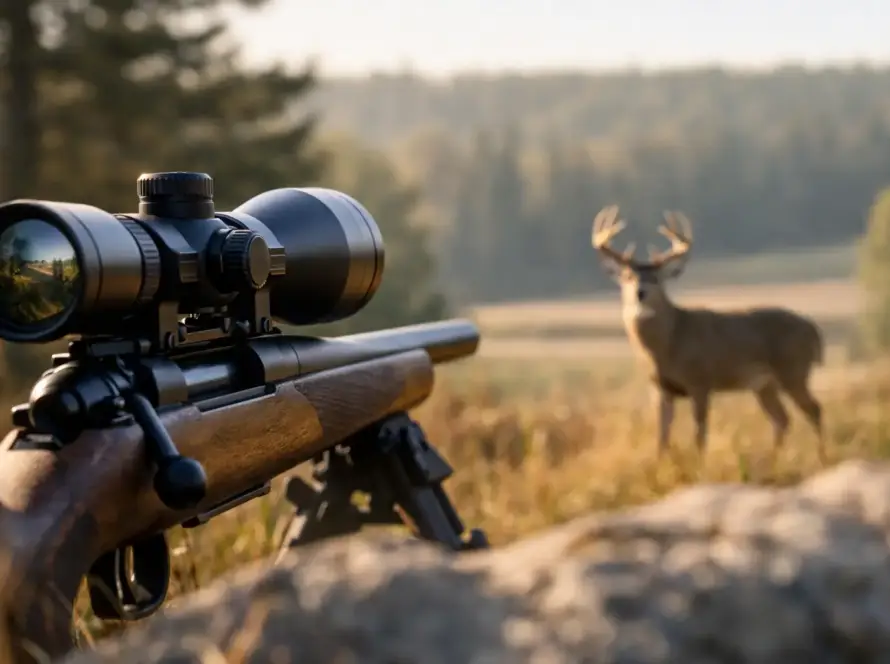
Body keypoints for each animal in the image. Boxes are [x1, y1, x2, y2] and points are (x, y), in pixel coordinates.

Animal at [590, 205, 825, 458]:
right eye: (627, 277)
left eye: (656, 278)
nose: (640, 293)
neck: (670, 344)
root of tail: (812, 328)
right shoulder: (660, 389)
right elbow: (662, 437)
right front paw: (660, 464)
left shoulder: (700, 381)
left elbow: (700, 434)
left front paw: (699, 463)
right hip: (764, 384)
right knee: (782, 418)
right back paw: (775, 458)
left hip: (793, 370)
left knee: (814, 409)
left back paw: (821, 455)